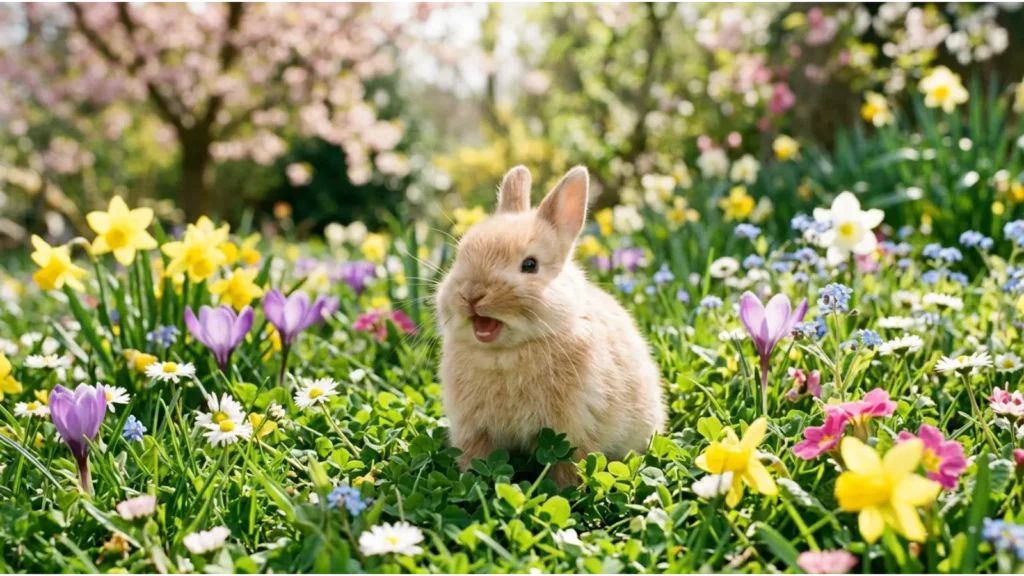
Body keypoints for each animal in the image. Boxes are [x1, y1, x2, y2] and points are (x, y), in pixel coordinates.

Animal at [436, 165, 666, 488]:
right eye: (459, 257)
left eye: (530, 265)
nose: (471, 295)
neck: (505, 352)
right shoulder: (474, 431)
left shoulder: (573, 430)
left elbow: (569, 467)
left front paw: (565, 491)